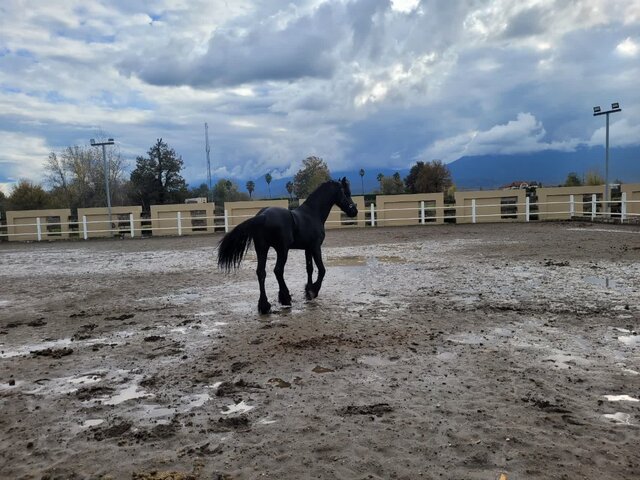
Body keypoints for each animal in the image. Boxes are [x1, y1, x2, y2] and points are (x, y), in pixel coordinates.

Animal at [218, 178, 358, 314]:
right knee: (278, 271)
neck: (312, 214)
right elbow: (322, 270)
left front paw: (308, 290)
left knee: (261, 272)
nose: (354, 211)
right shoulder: (315, 247)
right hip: (282, 250)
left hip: (262, 249)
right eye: (347, 193)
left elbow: (309, 268)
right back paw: (285, 298)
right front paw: (313, 291)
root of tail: (263, 216)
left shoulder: (307, 249)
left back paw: (264, 306)